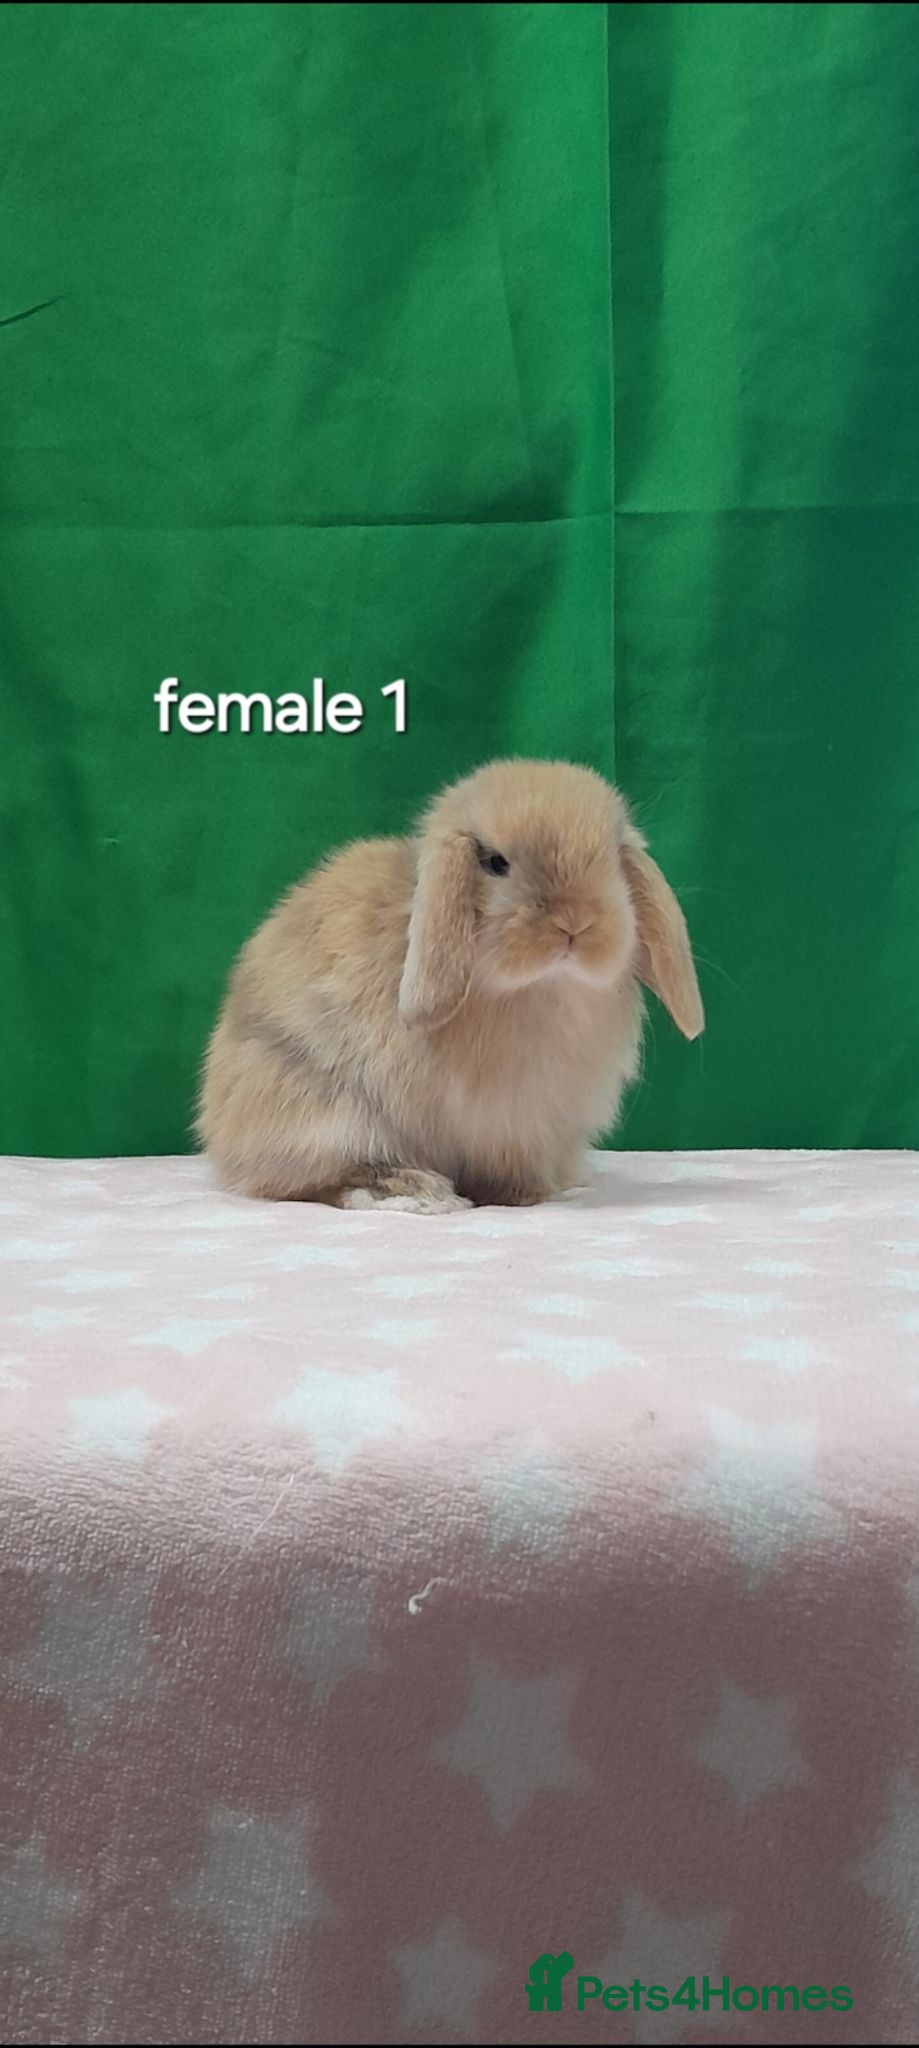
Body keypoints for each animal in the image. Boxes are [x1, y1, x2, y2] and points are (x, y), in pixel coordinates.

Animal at [197, 758, 703, 1212]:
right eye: (496, 863)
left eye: (612, 860)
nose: (575, 923)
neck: (541, 987)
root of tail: (220, 1131)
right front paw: (526, 1197)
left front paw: (544, 1192)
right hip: (321, 1114)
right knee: (320, 1178)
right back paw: (413, 1191)